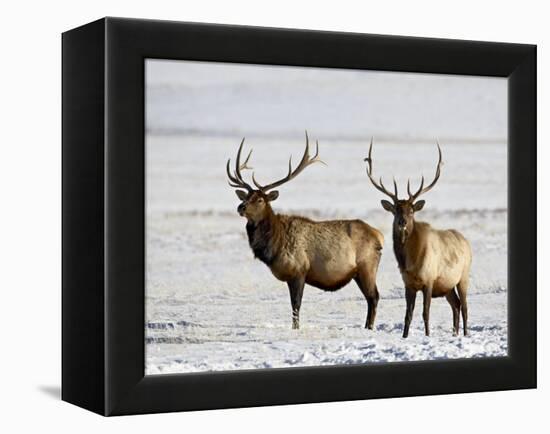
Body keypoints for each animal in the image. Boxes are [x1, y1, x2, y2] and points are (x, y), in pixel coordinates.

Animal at [226, 133, 386, 328]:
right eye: (246, 196)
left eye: (260, 200)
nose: (240, 207)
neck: (274, 246)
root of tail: (379, 235)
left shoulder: (299, 271)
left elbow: (296, 306)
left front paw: (296, 328)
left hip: (366, 266)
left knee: (374, 297)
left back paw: (369, 327)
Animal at [366, 141, 474, 338]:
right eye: (395, 210)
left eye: (411, 211)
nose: (402, 222)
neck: (411, 262)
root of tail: (466, 241)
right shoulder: (408, 284)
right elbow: (407, 315)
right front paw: (405, 336)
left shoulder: (429, 280)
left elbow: (425, 312)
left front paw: (427, 335)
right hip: (447, 285)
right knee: (455, 305)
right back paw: (454, 333)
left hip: (463, 276)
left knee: (464, 307)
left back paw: (464, 334)